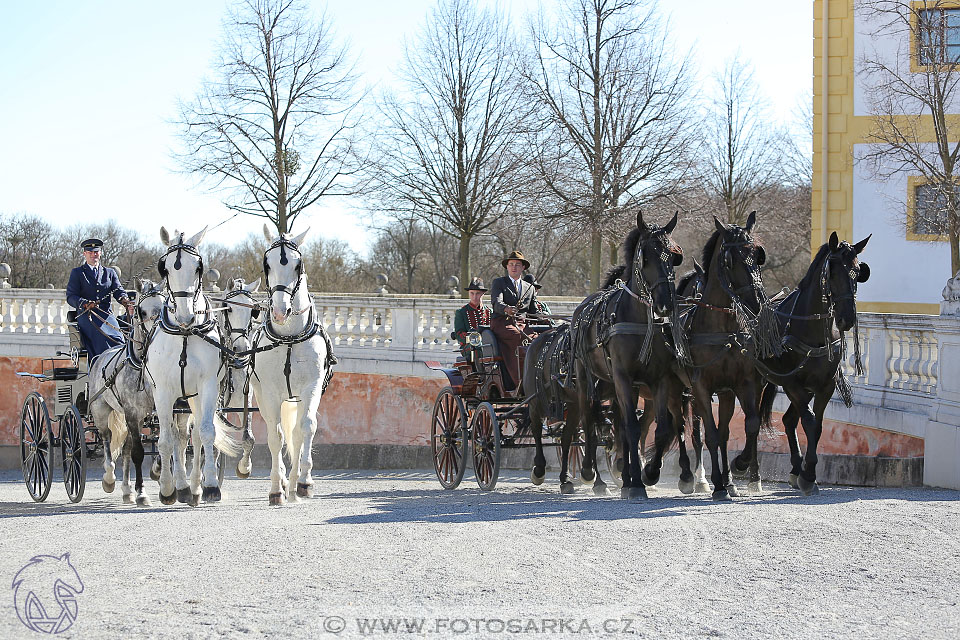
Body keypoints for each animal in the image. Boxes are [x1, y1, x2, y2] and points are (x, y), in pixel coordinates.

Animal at [147, 228, 244, 508]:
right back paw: (180, 487)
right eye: (165, 268)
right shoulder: (163, 392)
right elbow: (165, 440)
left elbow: (207, 433)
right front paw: (167, 489)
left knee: (196, 435)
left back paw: (194, 487)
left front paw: (209, 485)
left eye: (198, 267)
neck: (185, 334)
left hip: (193, 397)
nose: (185, 316)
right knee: (178, 438)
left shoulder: (208, 386)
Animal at [251, 225, 338, 504]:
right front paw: (276, 489)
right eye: (266, 264)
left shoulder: (311, 387)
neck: (289, 336)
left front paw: (303, 482)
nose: (281, 311)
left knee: (299, 433)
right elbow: (276, 437)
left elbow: (306, 428)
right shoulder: (269, 393)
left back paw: (293, 484)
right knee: (277, 431)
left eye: (297, 264)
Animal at [568, 211, 688, 500]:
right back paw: (591, 473)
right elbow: (632, 428)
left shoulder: (659, 380)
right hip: (587, 378)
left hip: (619, 385)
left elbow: (659, 429)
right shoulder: (622, 376)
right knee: (589, 417)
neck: (638, 319)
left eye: (674, 256)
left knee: (620, 423)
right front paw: (635, 485)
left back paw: (623, 473)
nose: (665, 304)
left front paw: (646, 474)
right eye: (647, 257)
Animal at [684, 212, 780, 502]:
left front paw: (739, 467)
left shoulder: (744, 383)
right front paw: (716, 483)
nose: (757, 303)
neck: (722, 329)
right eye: (730, 259)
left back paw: (730, 480)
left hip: (726, 392)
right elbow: (711, 435)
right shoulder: (700, 388)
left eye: (757, 254)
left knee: (727, 431)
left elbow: (750, 425)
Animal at [732, 230, 872, 496]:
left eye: (857, 271)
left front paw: (807, 473)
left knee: (786, 420)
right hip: (757, 382)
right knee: (753, 419)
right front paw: (808, 475)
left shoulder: (824, 386)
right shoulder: (792, 383)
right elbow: (808, 421)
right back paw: (749, 470)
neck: (811, 329)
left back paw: (792, 469)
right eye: (832, 271)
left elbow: (816, 425)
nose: (847, 318)